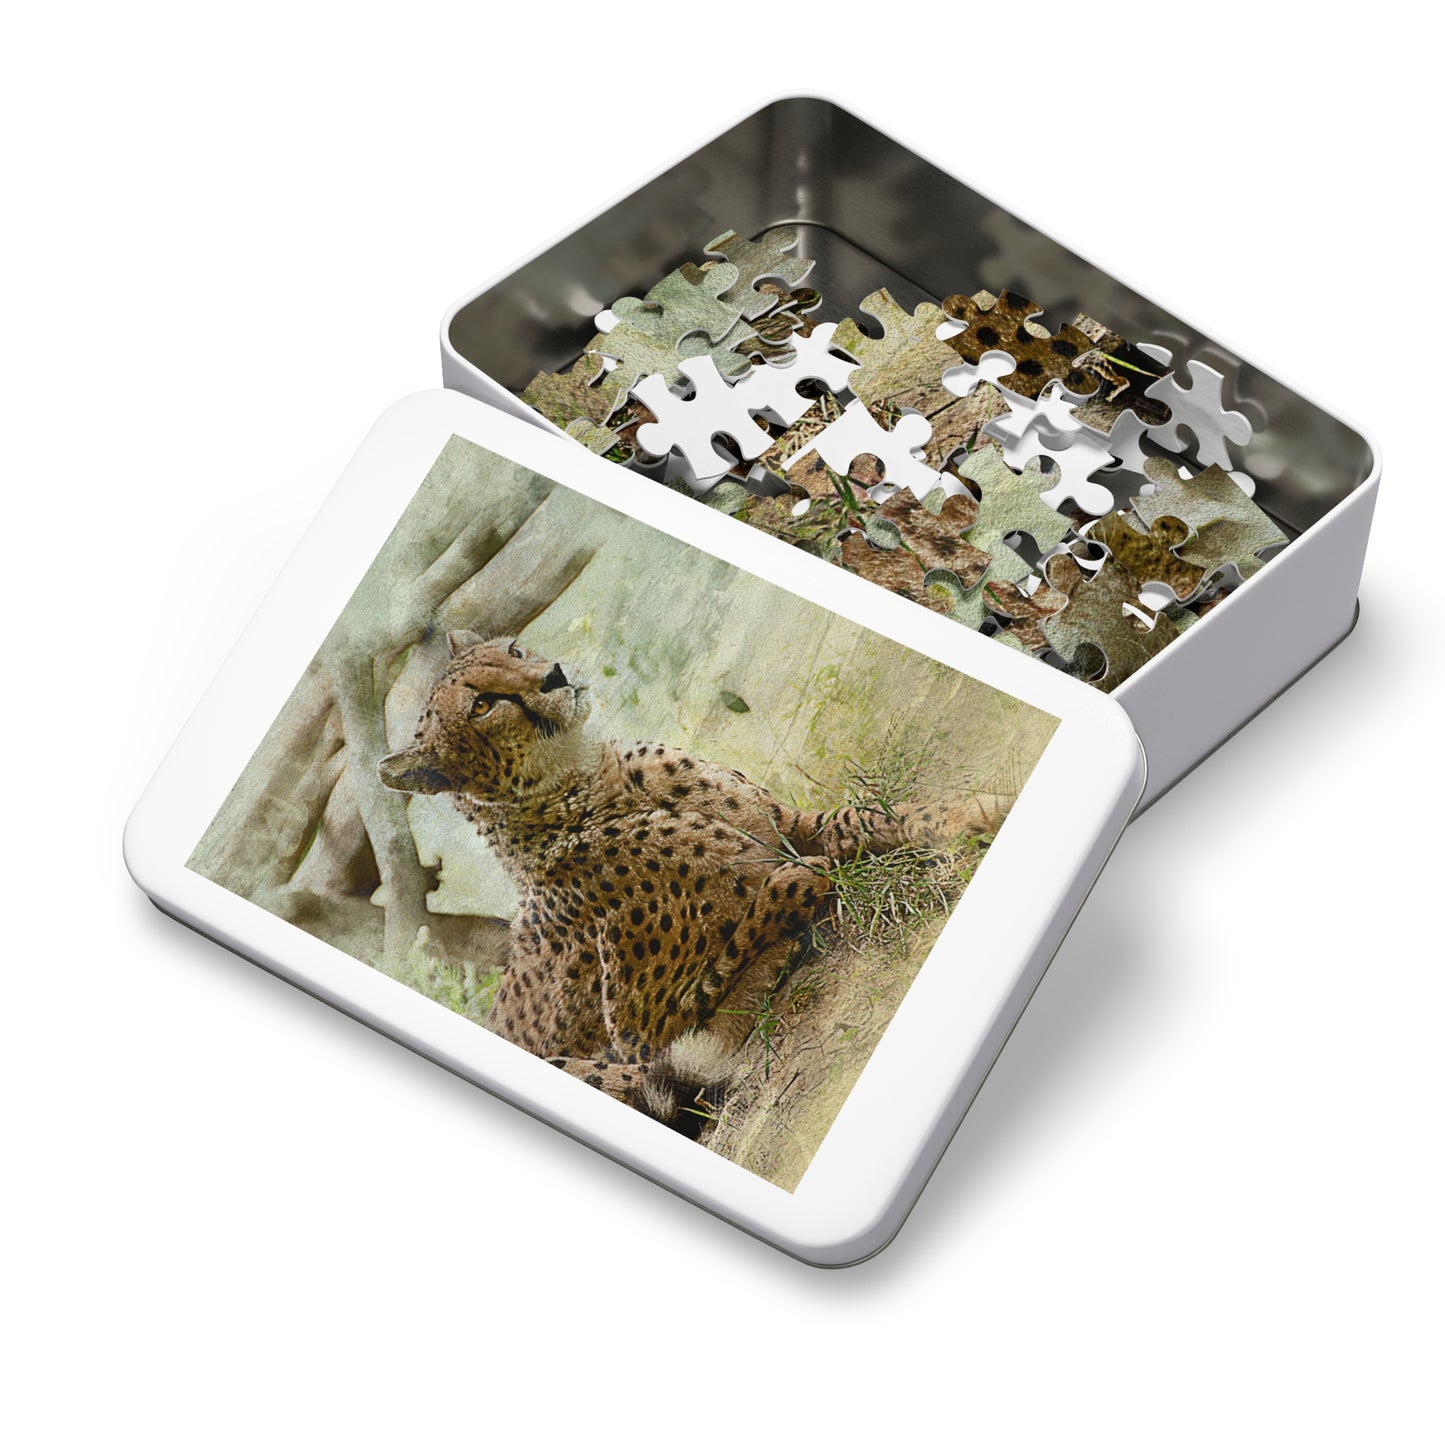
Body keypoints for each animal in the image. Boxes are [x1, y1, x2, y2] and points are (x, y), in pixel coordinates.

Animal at [379, 632, 1009, 1134]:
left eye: (513, 651)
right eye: (482, 706)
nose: (553, 674)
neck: (588, 780)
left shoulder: (792, 828)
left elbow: (874, 818)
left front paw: (980, 812)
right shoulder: (644, 1030)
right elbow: (746, 935)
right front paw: (797, 896)